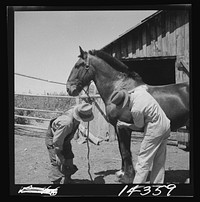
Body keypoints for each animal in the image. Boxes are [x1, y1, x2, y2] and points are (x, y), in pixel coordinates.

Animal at [66, 46, 189, 184]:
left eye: (78, 65)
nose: (69, 89)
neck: (119, 89)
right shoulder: (117, 127)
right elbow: (121, 149)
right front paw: (122, 172)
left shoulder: (124, 128)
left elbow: (125, 152)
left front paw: (127, 177)